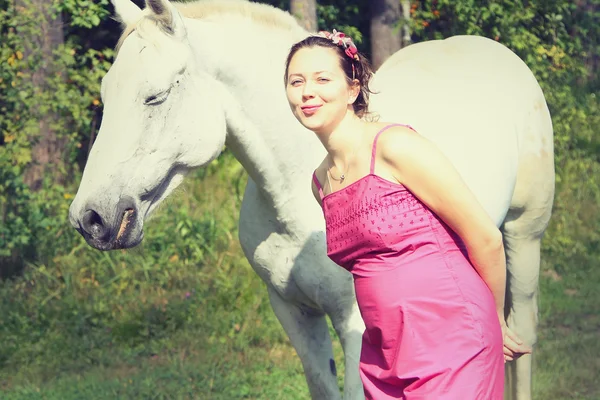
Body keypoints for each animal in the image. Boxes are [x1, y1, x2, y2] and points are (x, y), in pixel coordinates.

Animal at [68, 1, 556, 398]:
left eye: (155, 96)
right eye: (106, 94)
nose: (90, 218)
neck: (293, 200)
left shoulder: (356, 325)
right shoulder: (294, 313)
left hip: (524, 233)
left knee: (521, 336)